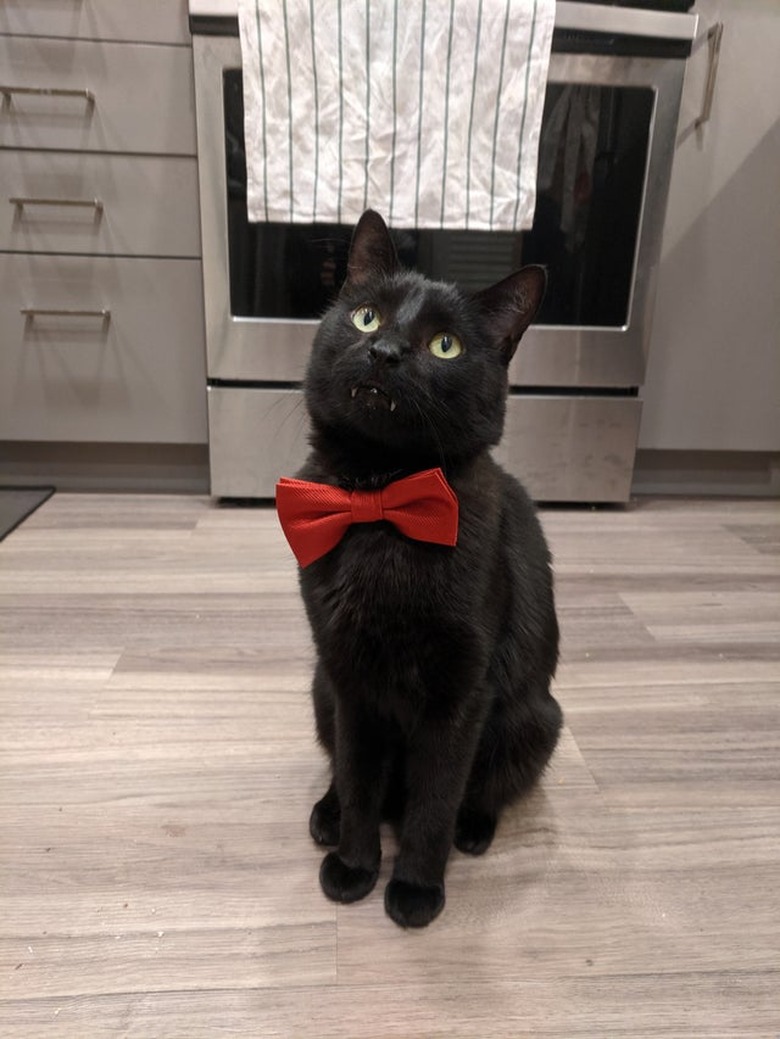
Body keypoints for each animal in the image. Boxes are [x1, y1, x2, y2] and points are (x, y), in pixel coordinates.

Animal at [278, 208, 565, 926]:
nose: (384, 353)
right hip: (319, 687)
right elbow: (358, 776)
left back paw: (474, 828)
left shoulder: (460, 691)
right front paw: (354, 865)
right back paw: (327, 814)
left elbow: (435, 795)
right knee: (348, 773)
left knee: (482, 788)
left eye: (444, 346)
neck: (382, 501)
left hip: (534, 719)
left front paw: (414, 889)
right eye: (367, 318)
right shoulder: (349, 678)